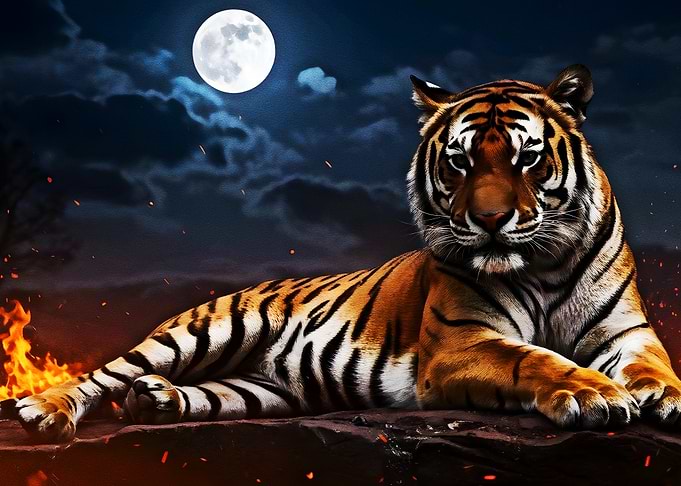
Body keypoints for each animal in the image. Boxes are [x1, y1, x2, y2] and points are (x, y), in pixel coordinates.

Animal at [10, 64, 681, 443]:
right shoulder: (462, 343)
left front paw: (662, 396)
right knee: (103, 374)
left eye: (527, 157)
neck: (542, 264)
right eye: (460, 161)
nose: (489, 221)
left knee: (209, 394)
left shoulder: (628, 332)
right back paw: (45, 409)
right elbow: (534, 360)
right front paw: (594, 394)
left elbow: (655, 364)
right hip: (201, 330)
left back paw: (156, 400)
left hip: (264, 391)